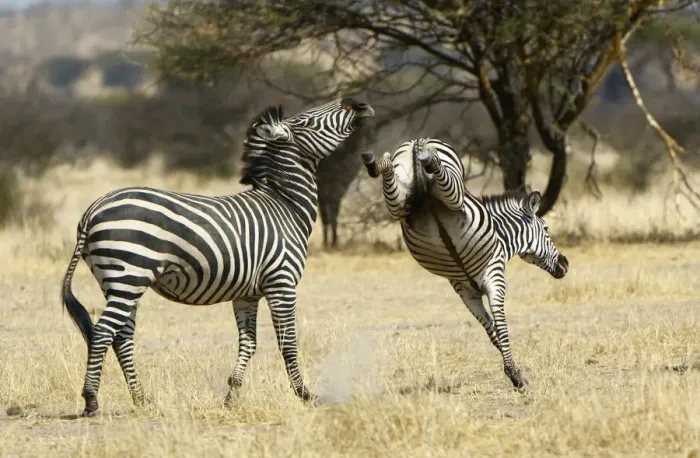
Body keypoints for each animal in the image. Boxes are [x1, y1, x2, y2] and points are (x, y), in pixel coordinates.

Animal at [61, 98, 375, 416]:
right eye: (307, 122)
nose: (359, 104)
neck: (285, 205)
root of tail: (93, 210)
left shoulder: (247, 294)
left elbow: (249, 343)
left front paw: (232, 395)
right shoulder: (282, 283)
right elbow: (287, 342)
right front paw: (304, 395)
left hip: (119, 282)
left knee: (121, 337)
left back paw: (141, 398)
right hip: (129, 275)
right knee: (102, 333)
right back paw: (91, 400)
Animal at [361, 138, 568, 392]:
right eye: (546, 229)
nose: (565, 263)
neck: (500, 236)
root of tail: (417, 141)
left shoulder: (465, 291)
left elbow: (491, 331)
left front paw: (513, 372)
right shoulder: (494, 275)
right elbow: (500, 326)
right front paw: (517, 377)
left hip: (398, 201)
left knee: (389, 171)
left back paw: (377, 161)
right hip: (453, 192)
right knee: (440, 172)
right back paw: (428, 157)